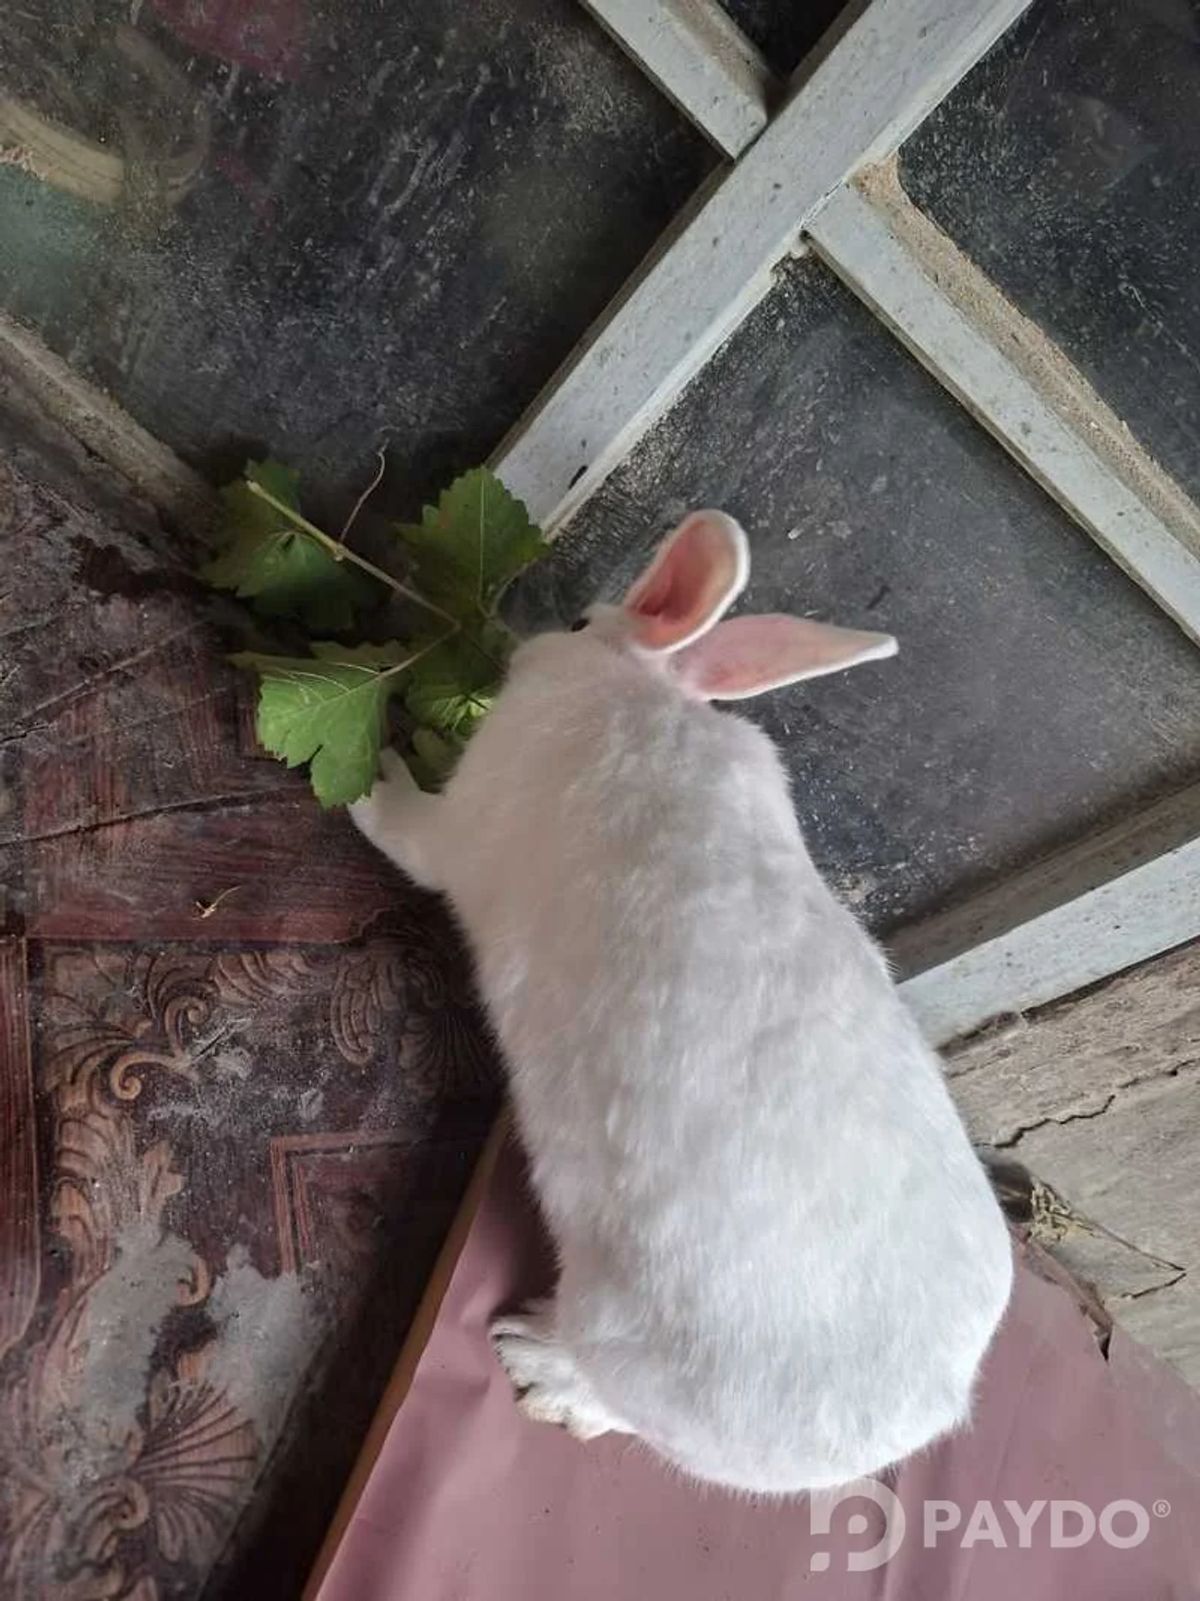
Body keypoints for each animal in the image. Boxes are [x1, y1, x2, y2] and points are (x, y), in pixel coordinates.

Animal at [350, 509, 1013, 1495]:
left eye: (581, 623)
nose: (523, 641)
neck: (647, 687)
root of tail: (911, 1419)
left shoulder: (455, 829)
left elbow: (404, 831)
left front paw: (375, 769)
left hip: (627, 1342)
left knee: (606, 1397)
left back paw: (532, 1362)